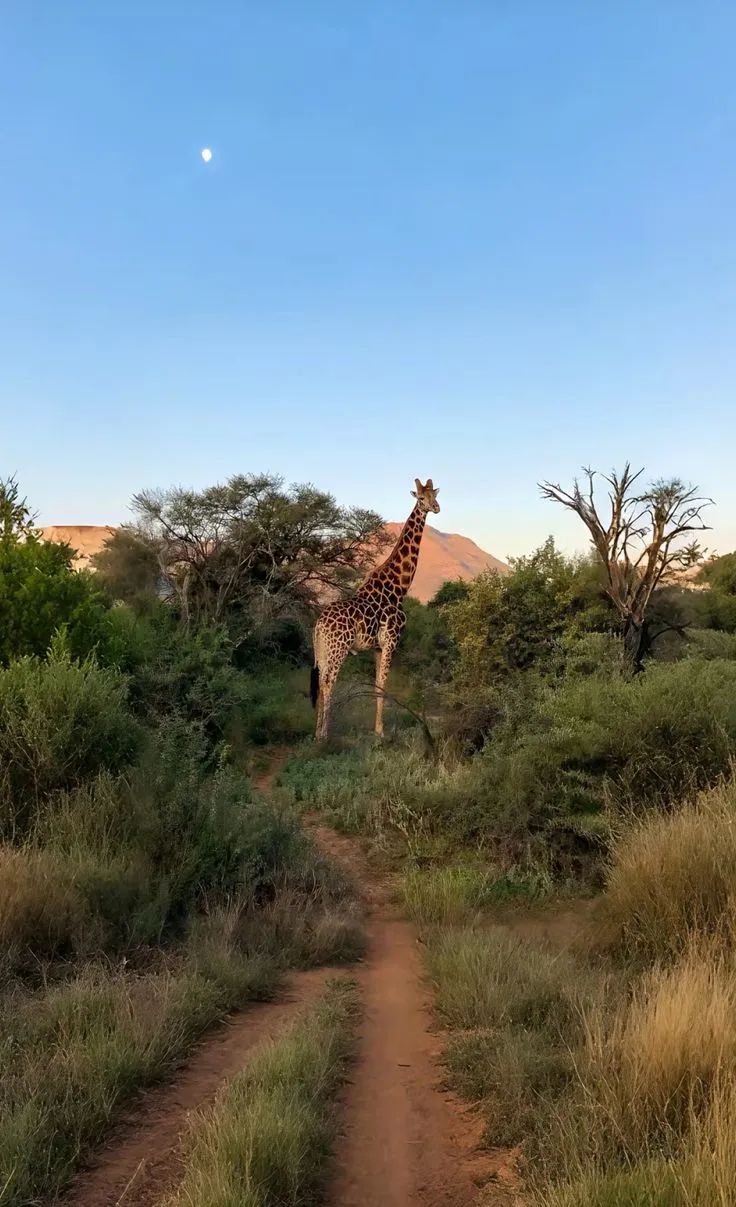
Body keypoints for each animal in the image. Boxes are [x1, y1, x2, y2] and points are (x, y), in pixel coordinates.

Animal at [311, 478, 440, 741]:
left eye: (435, 495)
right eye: (421, 498)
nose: (436, 507)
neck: (399, 587)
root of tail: (319, 625)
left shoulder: (379, 646)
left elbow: (379, 685)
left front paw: (376, 728)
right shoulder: (390, 641)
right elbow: (383, 686)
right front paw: (380, 732)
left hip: (321, 649)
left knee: (320, 680)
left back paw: (316, 732)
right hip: (338, 648)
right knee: (329, 682)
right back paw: (325, 734)